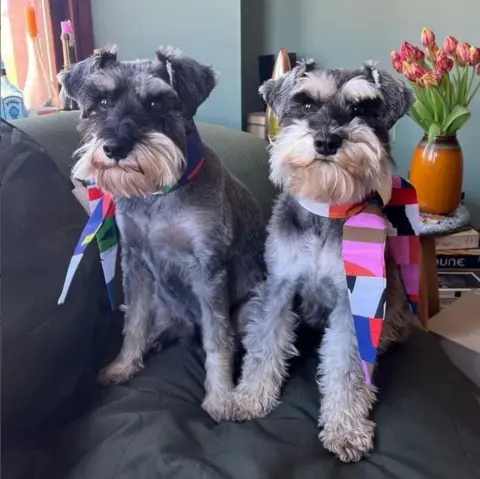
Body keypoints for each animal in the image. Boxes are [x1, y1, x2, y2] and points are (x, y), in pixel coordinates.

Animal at [58, 45, 266, 420]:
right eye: (102, 101)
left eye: (156, 102)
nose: (115, 148)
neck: (157, 195)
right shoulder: (135, 262)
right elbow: (134, 322)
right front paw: (122, 364)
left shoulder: (209, 268)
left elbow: (218, 340)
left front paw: (219, 398)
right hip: (163, 299)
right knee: (164, 323)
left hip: (247, 309)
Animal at [231, 59, 414, 462]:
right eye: (306, 103)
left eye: (363, 108)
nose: (327, 141)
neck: (325, 205)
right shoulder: (279, 288)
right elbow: (264, 344)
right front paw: (249, 398)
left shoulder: (354, 303)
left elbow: (346, 367)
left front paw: (345, 430)